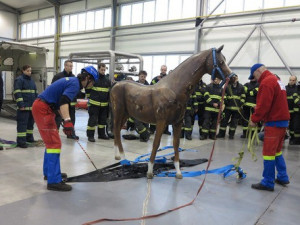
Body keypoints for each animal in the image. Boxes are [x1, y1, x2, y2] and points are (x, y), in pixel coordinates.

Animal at [110, 45, 232, 179]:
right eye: (220, 62)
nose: (233, 77)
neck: (173, 90)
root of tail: (116, 84)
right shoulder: (161, 121)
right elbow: (156, 143)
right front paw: (150, 171)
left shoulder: (178, 122)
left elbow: (176, 144)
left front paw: (178, 172)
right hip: (119, 111)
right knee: (116, 130)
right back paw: (124, 159)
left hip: (126, 114)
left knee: (117, 130)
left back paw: (118, 157)